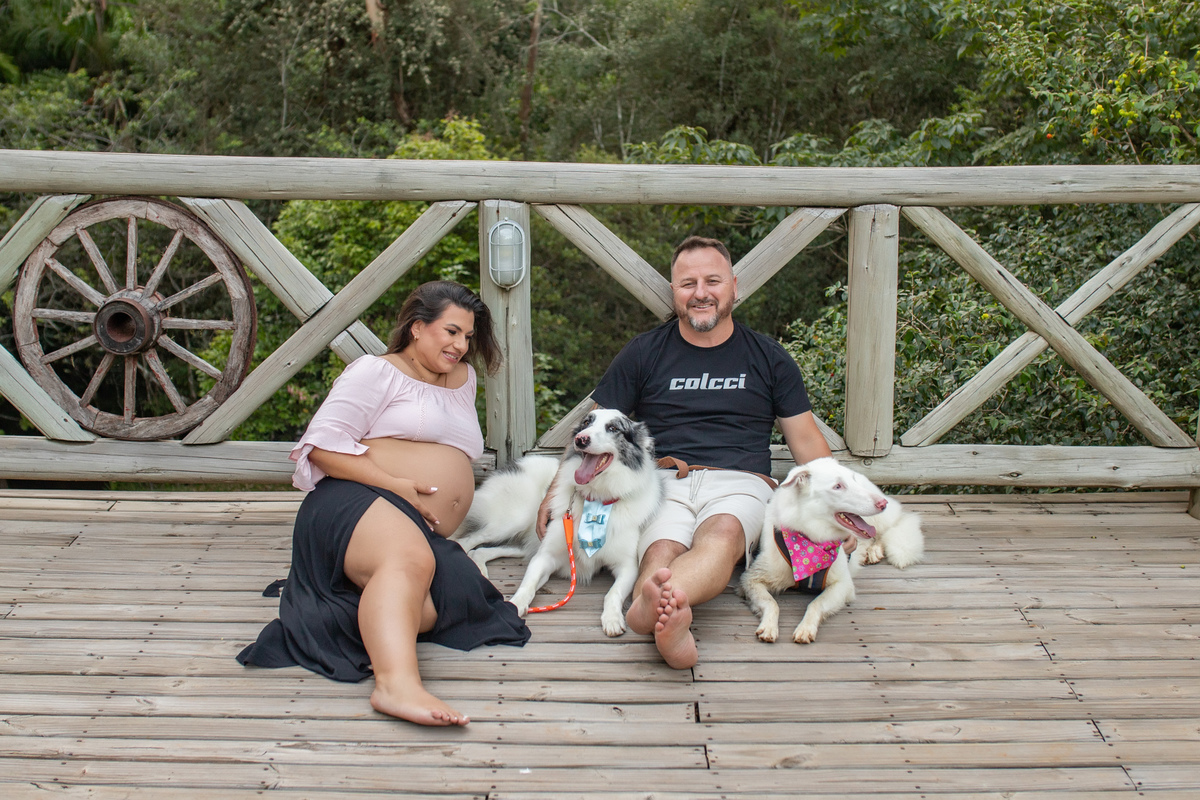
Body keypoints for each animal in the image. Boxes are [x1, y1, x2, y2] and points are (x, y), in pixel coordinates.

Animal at [452, 408, 666, 637]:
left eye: (613, 428)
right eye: (586, 422)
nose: (581, 439)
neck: (596, 497)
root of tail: (516, 463)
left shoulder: (628, 566)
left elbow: (613, 592)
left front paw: (612, 618)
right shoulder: (545, 556)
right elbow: (526, 586)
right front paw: (515, 606)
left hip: (525, 540)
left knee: (480, 551)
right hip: (511, 521)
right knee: (465, 541)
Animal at [739, 457, 924, 644]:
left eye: (852, 480)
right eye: (838, 486)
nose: (882, 504)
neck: (810, 540)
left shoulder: (843, 585)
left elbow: (816, 603)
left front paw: (805, 628)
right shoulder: (751, 579)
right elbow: (771, 603)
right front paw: (769, 626)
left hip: (878, 520)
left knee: (884, 531)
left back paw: (874, 550)